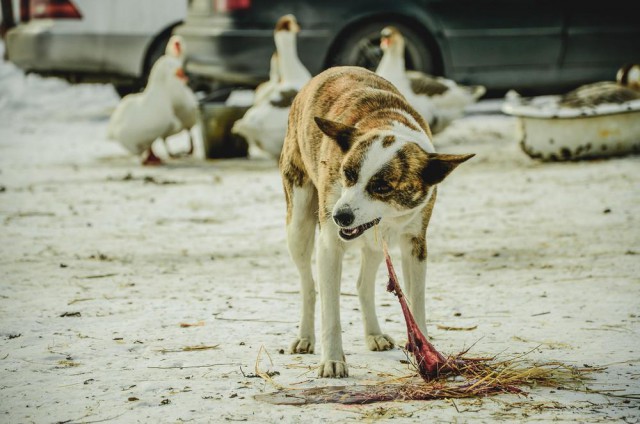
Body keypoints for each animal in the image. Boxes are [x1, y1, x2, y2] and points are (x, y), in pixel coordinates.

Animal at [278, 66, 472, 378]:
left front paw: (425, 350)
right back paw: (305, 337)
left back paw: (374, 334)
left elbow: (416, 300)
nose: (339, 216)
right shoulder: (329, 244)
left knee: (362, 283)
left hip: (376, 243)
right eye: (348, 174)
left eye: (382, 187)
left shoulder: (415, 243)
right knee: (309, 287)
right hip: (298, 224)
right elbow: (330, 311)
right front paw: (333, 360)